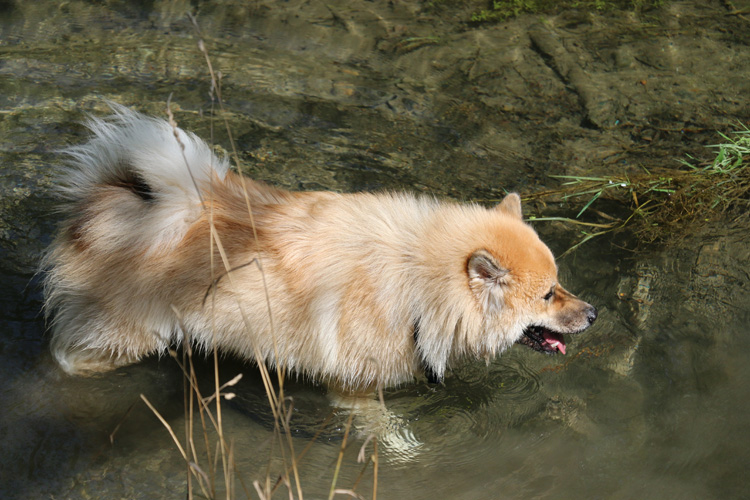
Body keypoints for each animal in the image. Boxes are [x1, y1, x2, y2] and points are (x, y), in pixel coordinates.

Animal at [44, 106, 600, 394]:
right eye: (548, 295)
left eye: (559, 284)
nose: (594, 313)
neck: (419, 284)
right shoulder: (357, 383)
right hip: (126, 332)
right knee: (72, 357)